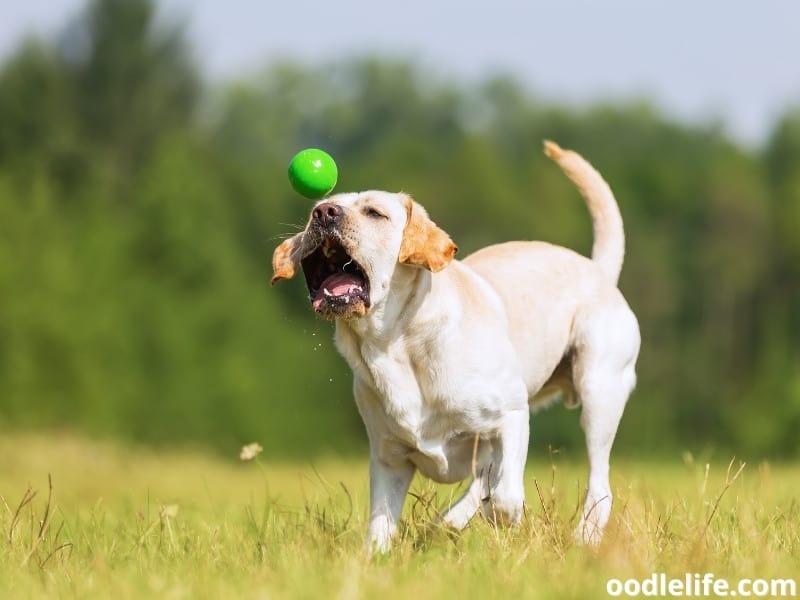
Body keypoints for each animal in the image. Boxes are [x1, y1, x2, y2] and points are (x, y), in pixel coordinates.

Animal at [272, 142, 640, 552]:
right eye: (316, 210)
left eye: (374, 213)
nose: (323, 212)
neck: (393, 345)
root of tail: (598, 271)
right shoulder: (388, 458)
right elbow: (380, 525)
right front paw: (375, 558)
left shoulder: (512, 415)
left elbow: (506, 496)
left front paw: (494, 517)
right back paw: (447, 521)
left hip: (599, 391)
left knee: (597, 481)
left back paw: (584, 535)